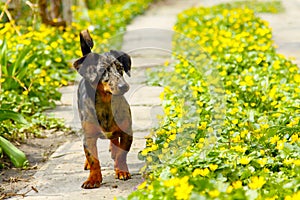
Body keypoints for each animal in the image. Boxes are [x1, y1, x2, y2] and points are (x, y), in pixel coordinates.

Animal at [73, 29, 132, 189]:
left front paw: (121, 171)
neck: (106, 104)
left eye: (120, 68)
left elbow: (122, 155)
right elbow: (93, 159)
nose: (124, 86)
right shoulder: (88, 137)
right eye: (102, 70)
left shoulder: (127, 133)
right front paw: (93, 179)